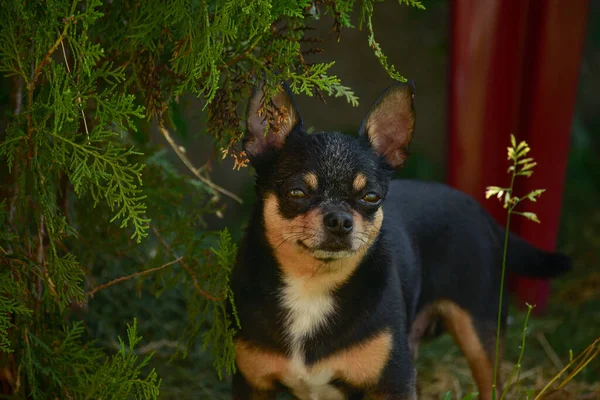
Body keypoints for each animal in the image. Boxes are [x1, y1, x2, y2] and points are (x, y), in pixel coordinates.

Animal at [231, 82, 572, 400]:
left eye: (371, 197)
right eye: (297, 193)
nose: (340, 220)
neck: (311, 286)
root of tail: (477, 208)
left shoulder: (392, 383)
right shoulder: (253, 385)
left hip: (479, 330)